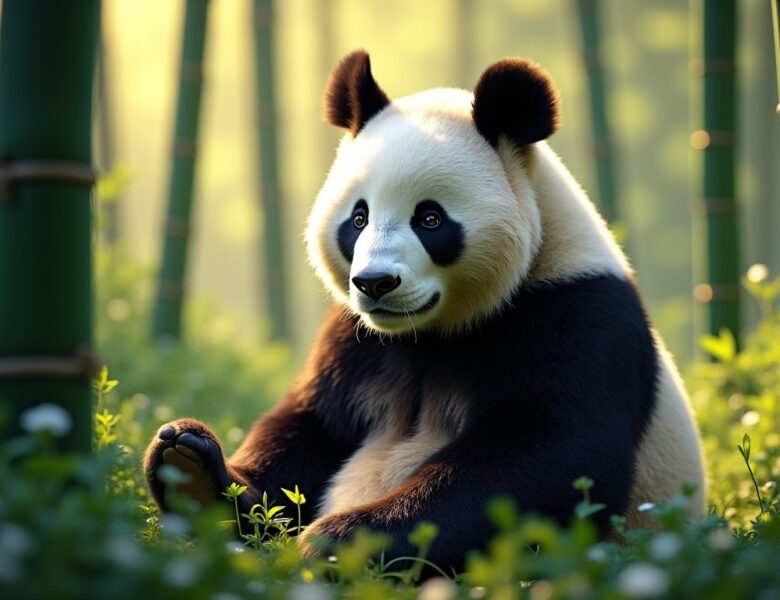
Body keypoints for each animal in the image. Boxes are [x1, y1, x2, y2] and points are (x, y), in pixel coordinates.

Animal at [144, 50, 706, 568]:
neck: (430, 331)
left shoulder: (577, 312)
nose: (375, 283)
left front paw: (343, 540)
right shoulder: (354, 340)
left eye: (430, 219)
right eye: (358, 217)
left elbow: (553, 452)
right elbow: (309, 431)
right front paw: (192, 469)